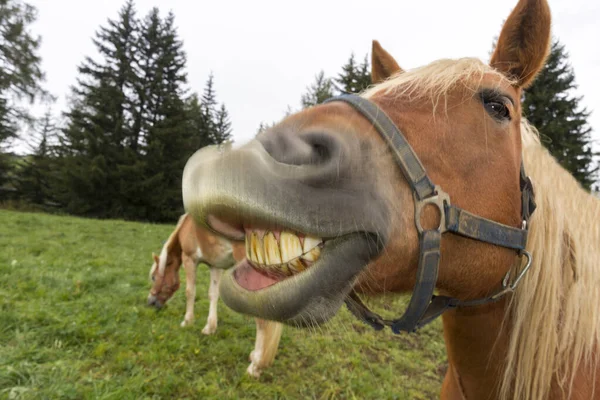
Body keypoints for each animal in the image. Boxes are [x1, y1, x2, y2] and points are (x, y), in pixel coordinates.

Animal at [148, 214, 284, 376]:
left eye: (153, 277)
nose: (150, 302)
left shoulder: (190, 259)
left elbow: (190, 292)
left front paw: (187, 321)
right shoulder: (215, 266)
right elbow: (213, 295)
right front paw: (209, 328)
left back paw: (255, 366)